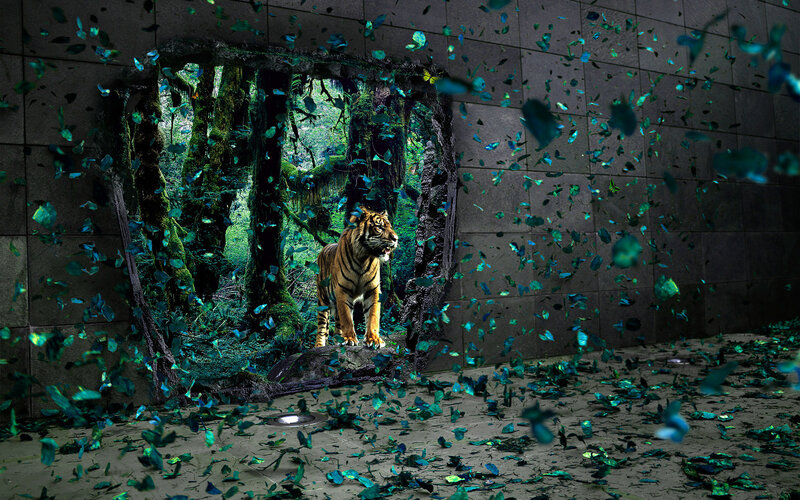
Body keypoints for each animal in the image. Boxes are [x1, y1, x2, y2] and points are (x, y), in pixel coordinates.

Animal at [314, 207, 399, 349]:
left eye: (390, 226)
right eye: (379, 227)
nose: (396, 239)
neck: (363, 257)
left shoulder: (373, 289)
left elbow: (373, 315)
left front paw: (374, 339)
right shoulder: (343, 289)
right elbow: (347, 318)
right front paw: (349, 339)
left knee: (337, 324)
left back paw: (338, 340)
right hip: (323, 300)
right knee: (322, 327)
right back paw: (319, 346)